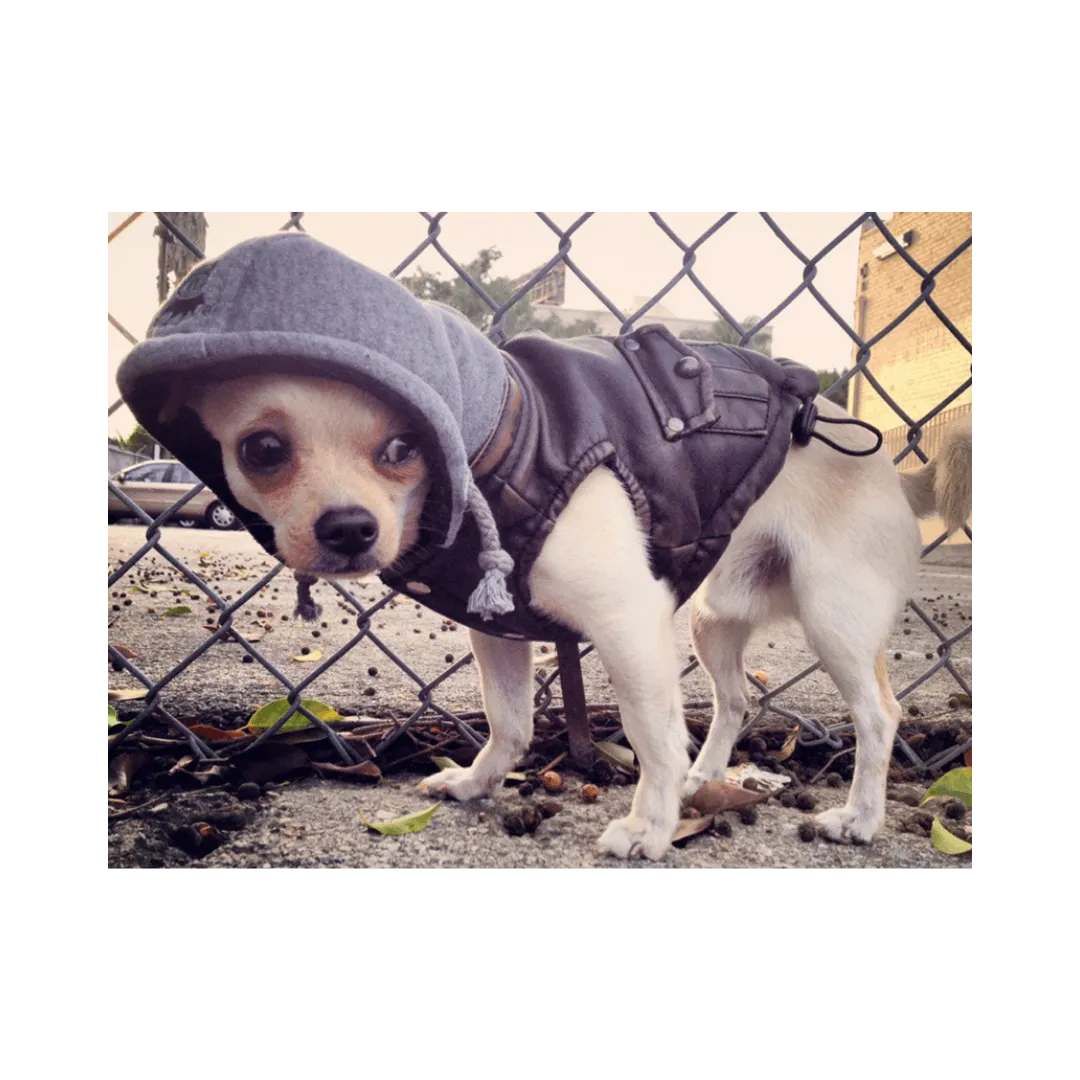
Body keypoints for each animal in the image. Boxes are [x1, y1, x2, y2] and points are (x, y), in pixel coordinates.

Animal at [179, 371, 972, 859]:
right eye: (263, 450)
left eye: (404, 447)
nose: (347, 529)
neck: (501, 440)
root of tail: (893, 468)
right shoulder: (496, 628)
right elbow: (509, 723)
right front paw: (475, 785)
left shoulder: (628, 623)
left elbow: (653, 741)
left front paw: (650, 829)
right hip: (715, 619)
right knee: (736, 700)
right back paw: (705, 779)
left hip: (832, 617)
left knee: (878, 716)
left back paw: (859, 819)